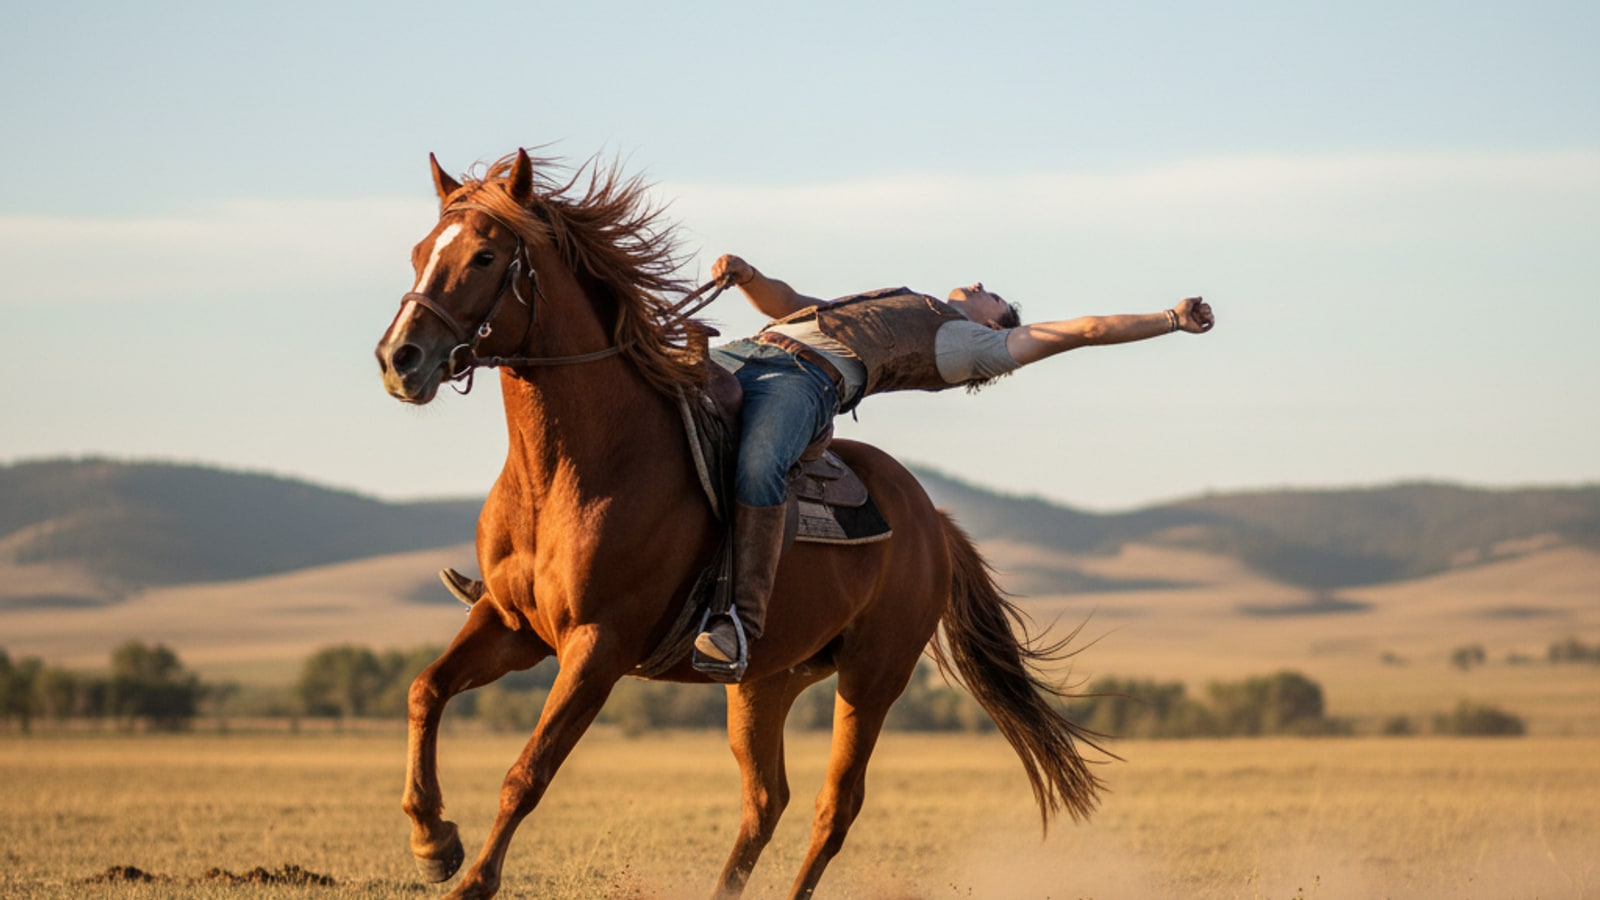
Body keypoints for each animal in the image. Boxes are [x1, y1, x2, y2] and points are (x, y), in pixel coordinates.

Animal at [374, 148, 1107, 899]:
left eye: (485, 256)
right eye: (420, 252)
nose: (399, 358)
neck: (582, 466)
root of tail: (932, 520)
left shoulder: (597, 645)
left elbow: (528, 771)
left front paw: (469, 878)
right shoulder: (513, 625)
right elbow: (424, 690)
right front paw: (433, 841)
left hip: (874, 676)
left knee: (834, 808)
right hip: (764, 680)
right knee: (765, 801)